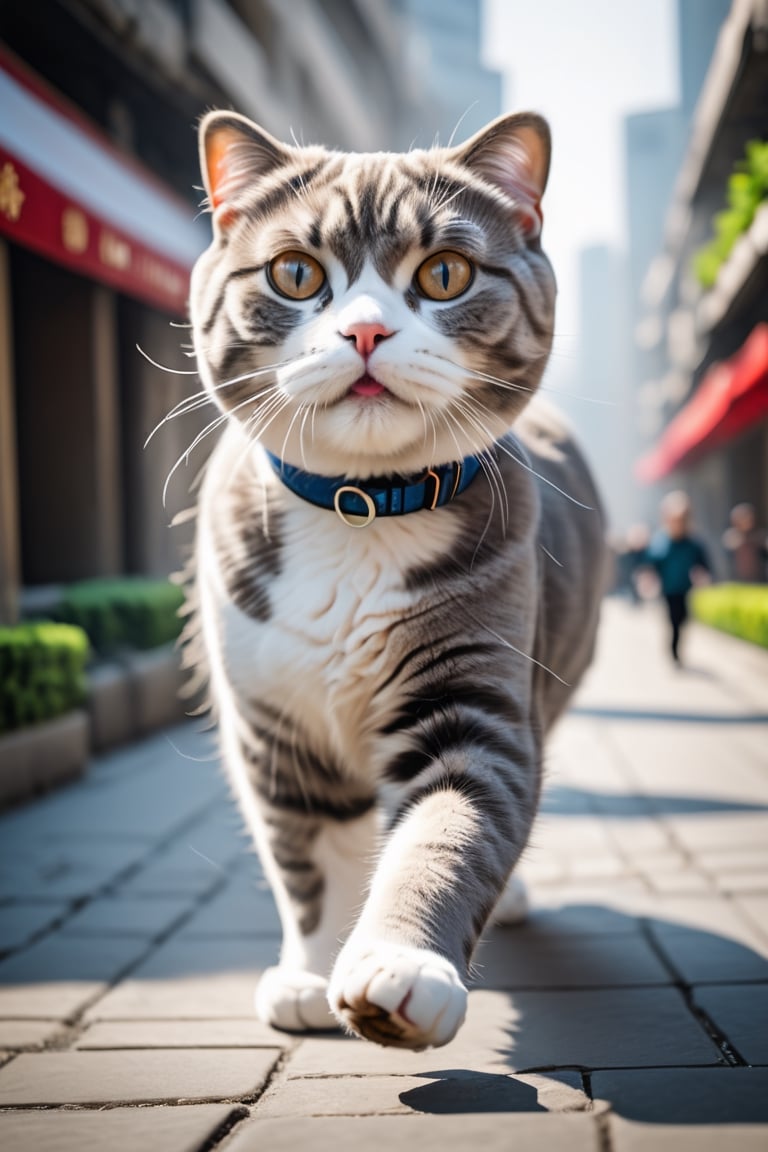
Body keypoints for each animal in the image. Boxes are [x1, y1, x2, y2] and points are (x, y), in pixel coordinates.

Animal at [184, 110, 607, 1055]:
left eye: (444, 274)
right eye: (295, 273)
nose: (367, 332)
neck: (361, 510)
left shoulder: (476, 697)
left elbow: (448, 832)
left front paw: (399, 967)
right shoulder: (275, 728)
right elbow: (308, 856)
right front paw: (312, 972)